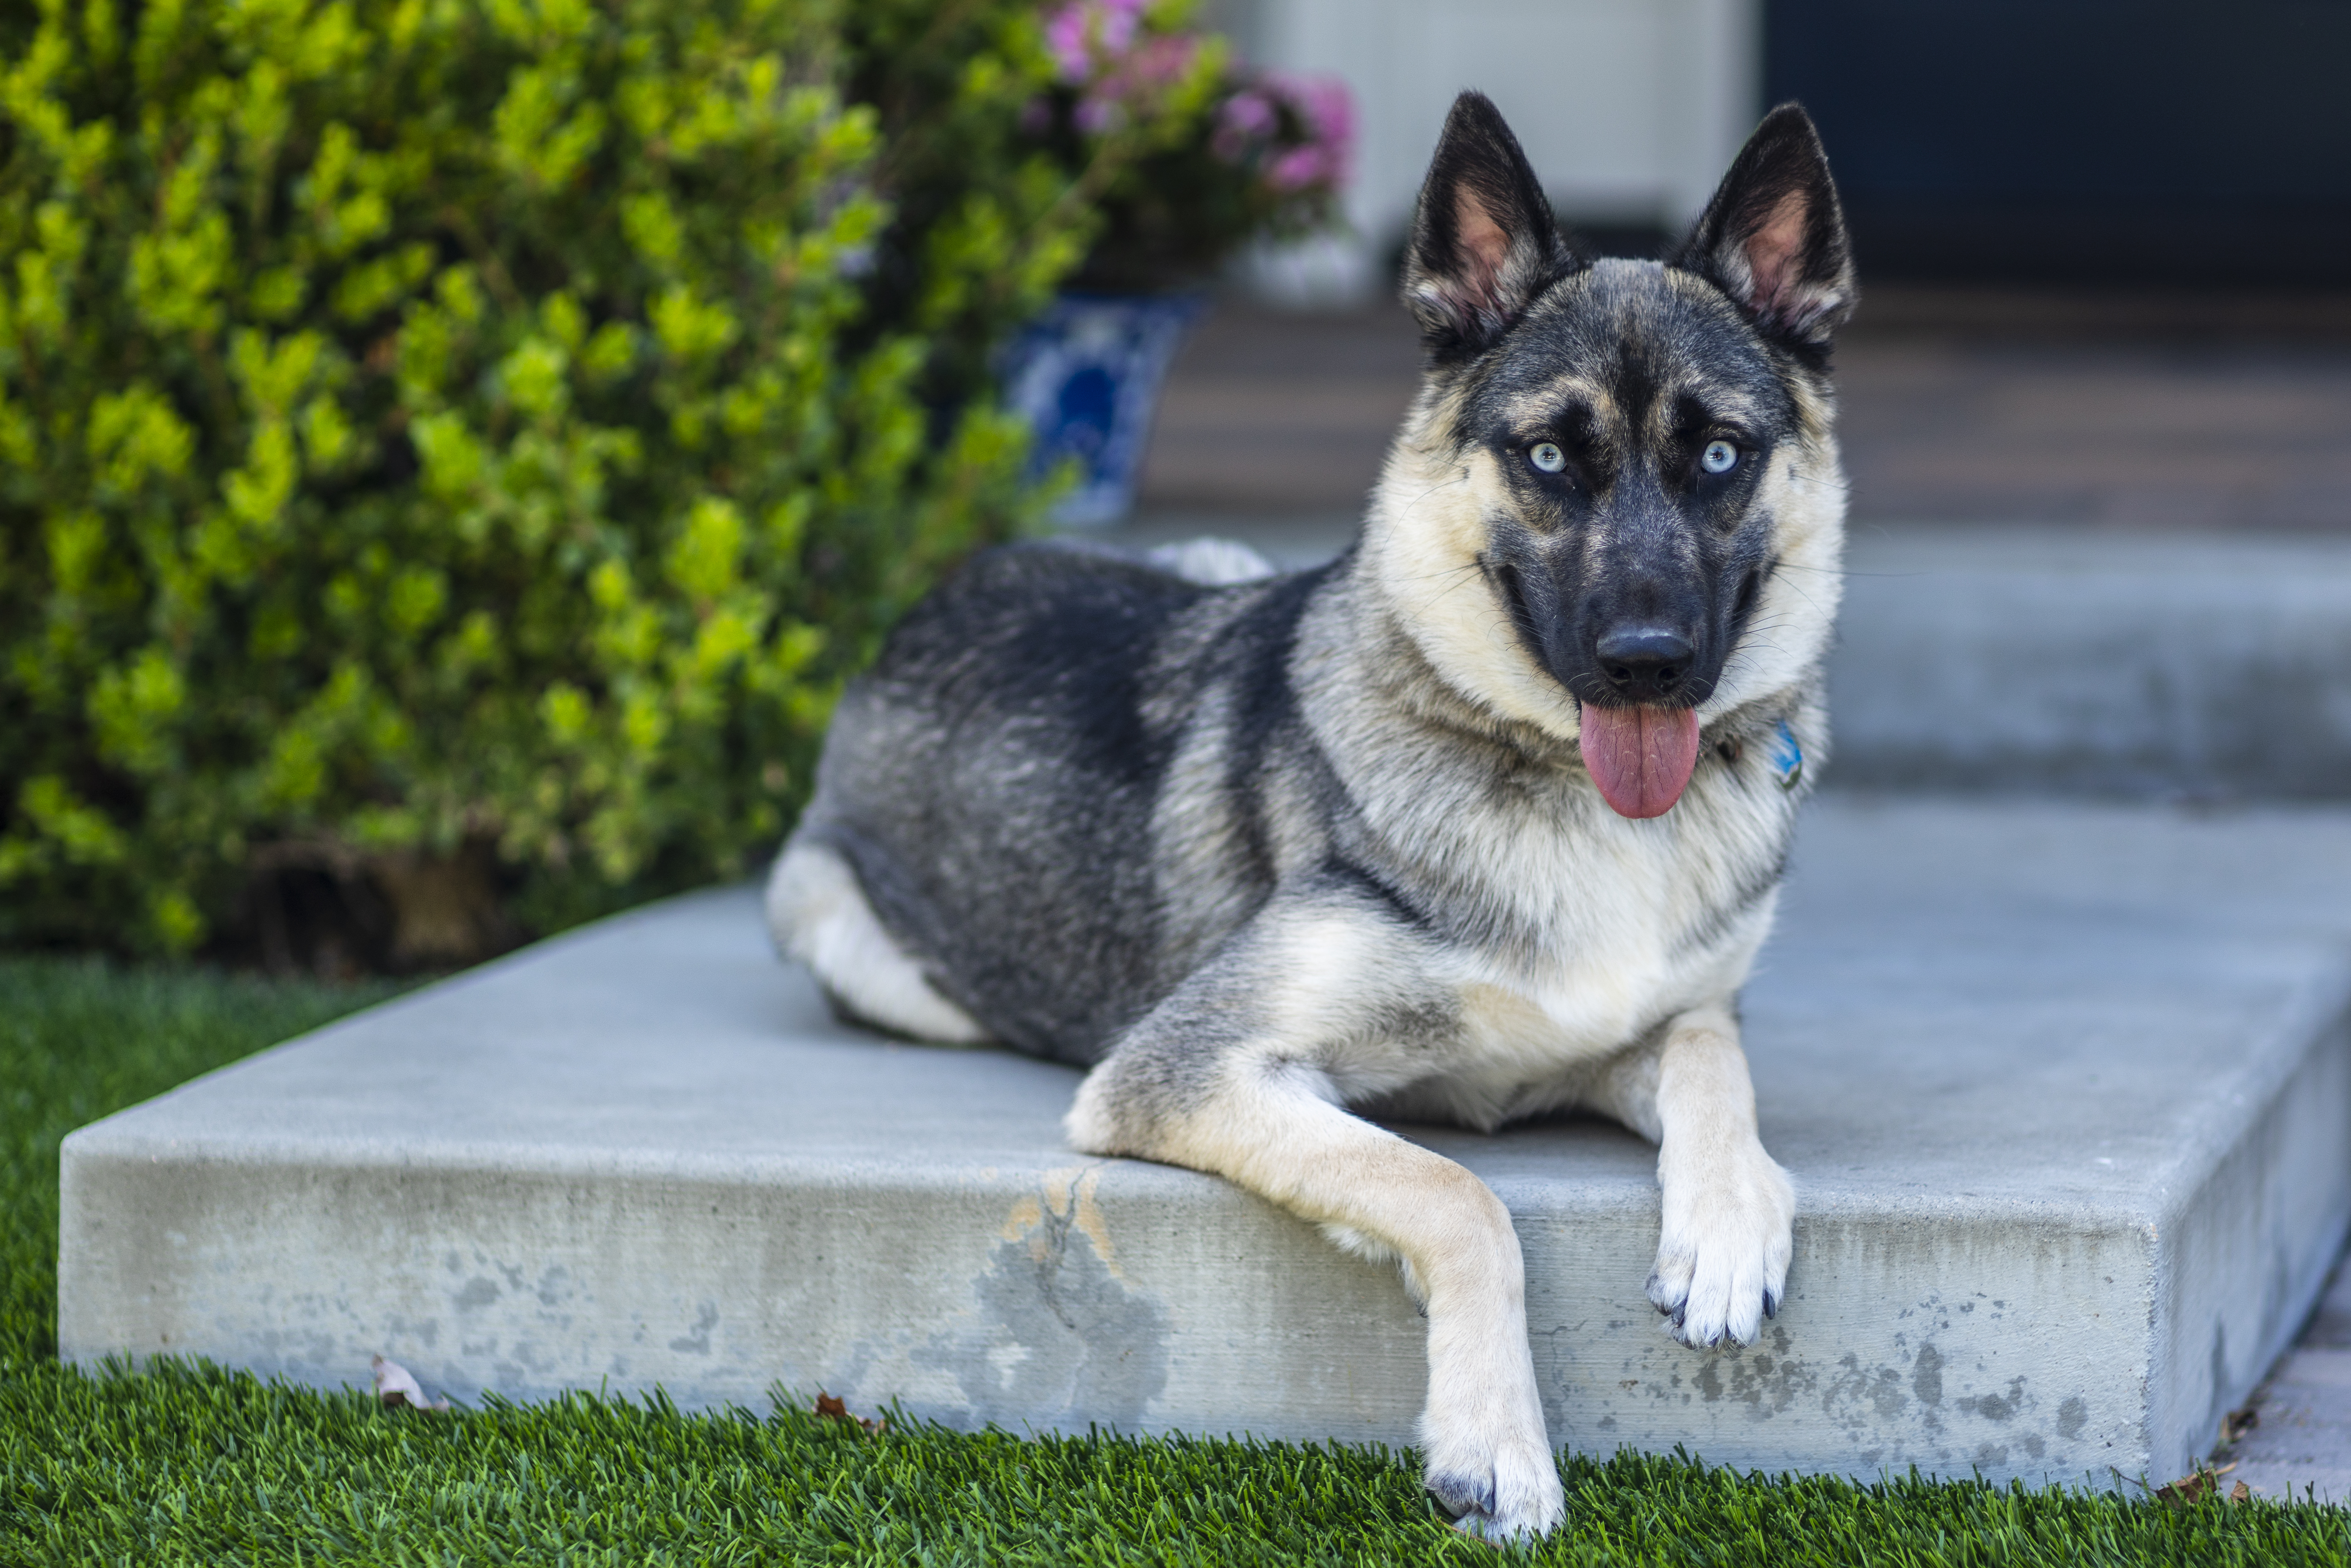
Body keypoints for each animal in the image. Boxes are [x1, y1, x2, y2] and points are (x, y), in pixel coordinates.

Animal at [771, 92, 1853, 1542]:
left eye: (1722, 455)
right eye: (1547, 456)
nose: (1647, 664)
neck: (1562, 781)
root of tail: (940, 593)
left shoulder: (1627, 1032)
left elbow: (1706, 1056)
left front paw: (1730, 1222)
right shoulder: (1194, 1069)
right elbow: (1456, 1192)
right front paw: (1495, 1441)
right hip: (841, 926)